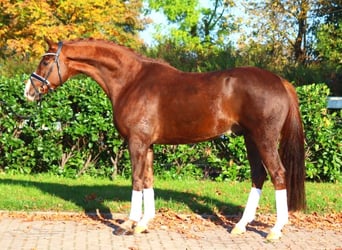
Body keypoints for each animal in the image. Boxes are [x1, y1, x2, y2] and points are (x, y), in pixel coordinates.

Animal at [25, 39, 306, 240]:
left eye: (45, 61)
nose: (28, 91)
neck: (131, 81)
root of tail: (281, 81)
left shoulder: (136, 142)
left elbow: (137, 180)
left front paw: (127, 224)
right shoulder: (147, 144)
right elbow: (148, 179)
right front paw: (143, 224)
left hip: (264, 139)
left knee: (278, 174)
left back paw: (275, 230)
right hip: (250, 139)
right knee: (258, 175)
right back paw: (240, 226)